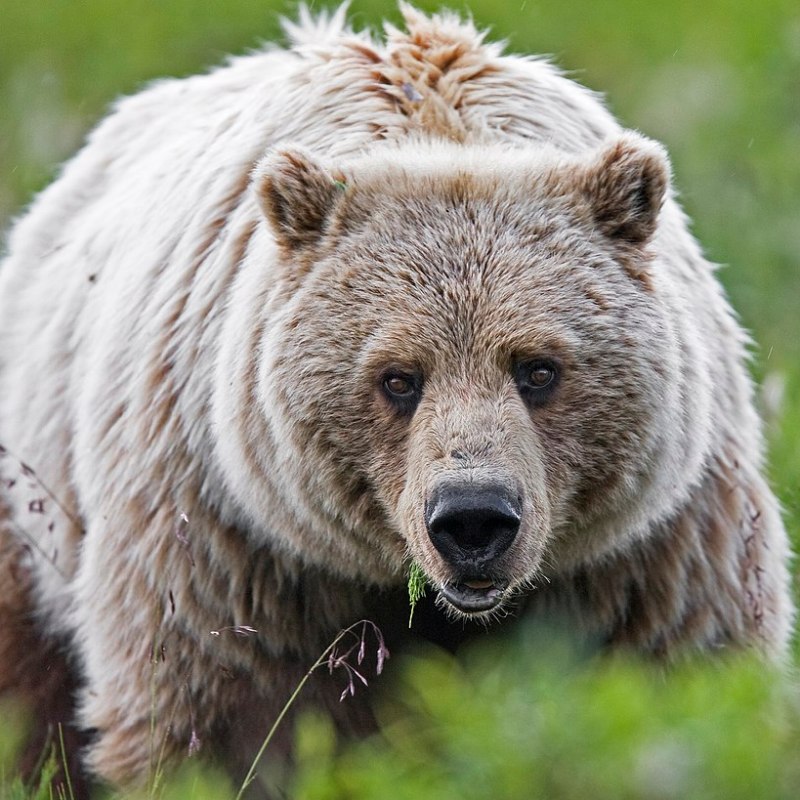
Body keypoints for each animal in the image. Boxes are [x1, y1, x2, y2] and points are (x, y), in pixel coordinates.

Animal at [0, 3, 793, 794]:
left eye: (538, 369)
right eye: (398, 377)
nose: (474, 518)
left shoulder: (651, 550)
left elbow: (680, 668)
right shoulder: (231, 542)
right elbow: (213, 716)